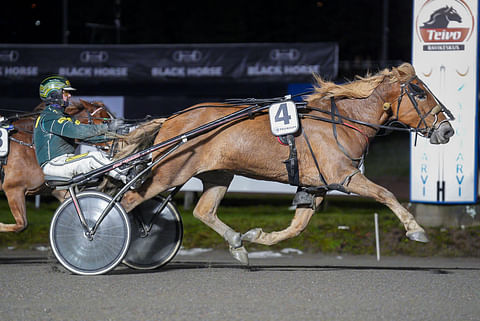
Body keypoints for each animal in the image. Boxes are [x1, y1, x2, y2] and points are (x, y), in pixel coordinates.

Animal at [0, 99, 113, 231]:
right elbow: (21, 225)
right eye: (105, 121)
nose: (120, 141)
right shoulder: (13, 189)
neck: (31, 146)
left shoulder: (58, 188)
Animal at [119, 62, 454, 262]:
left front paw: (256, 236)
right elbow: (386, 194)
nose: (447, 129)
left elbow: (297, 227)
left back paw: (237, 243)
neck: (342, 123)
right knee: (128, 201)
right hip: (169, 173)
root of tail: (171, 119)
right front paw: (416, 229)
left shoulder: (315, 188)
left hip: (218, 174)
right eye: (419, 92)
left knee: (204, 211)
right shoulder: (345, 176)